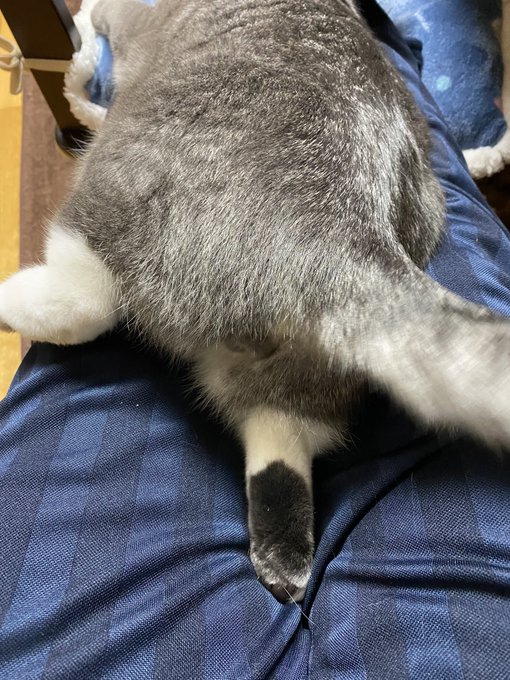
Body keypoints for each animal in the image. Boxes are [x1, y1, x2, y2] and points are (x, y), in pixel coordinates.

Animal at [1, 0, 510, 603]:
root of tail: (344, 230)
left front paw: (83, 23)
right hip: (311, 371)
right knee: (282, 432)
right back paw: (283, 561)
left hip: (115, 188)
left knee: (85, 298)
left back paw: (11, 299)